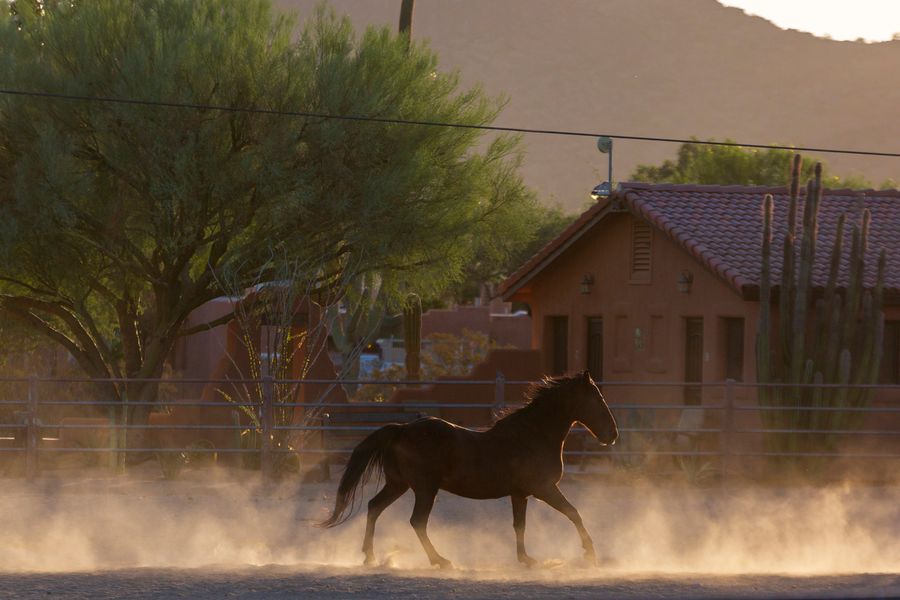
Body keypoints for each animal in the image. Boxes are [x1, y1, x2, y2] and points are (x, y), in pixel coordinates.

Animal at [318, 368, 620, 568]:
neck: (533, 435)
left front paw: (525, 558)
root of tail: (402, 429)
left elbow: (519, 526)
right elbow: (573, 513)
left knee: (374, 508)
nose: (612, 434)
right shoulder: (543, 489)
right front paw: (590, 553)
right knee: (417, 521)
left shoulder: (520, 494)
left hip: (399, 485)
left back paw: (369, 556)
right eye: (597, 399)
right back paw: (440, 560)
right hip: (424, 489)